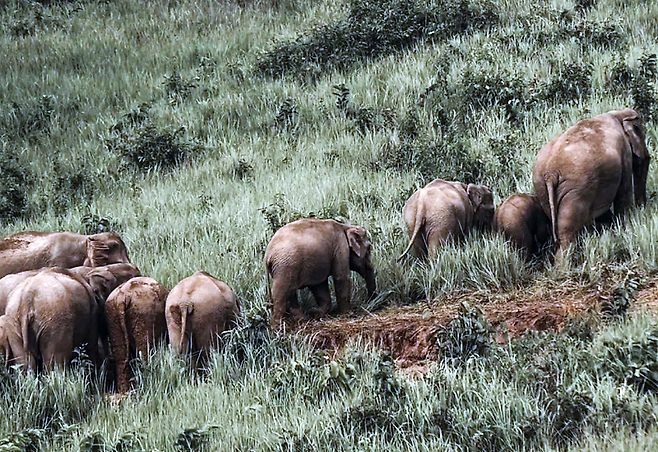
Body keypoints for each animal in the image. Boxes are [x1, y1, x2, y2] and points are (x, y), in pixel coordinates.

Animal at [532, 108, 650, 261]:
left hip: (542, 189)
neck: (617, 113)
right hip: (575, 190)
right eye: (642, 133)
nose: (643, 209)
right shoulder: (625, 153)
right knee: (567, 232)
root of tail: (550, 174)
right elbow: (624, 193)